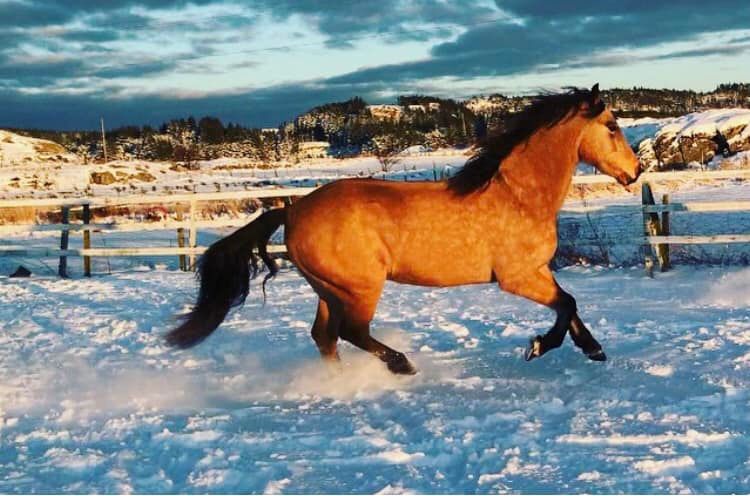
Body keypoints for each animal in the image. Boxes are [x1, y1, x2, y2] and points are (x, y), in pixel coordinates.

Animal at [166, 84, 641, 375]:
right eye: (612, 127)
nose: (635, 172)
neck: (519, 195)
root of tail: (294, 210)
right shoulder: (517, 277)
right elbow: (566, 305)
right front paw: (539, 346)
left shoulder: (538, 272)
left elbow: (569, 304)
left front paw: (592, 348)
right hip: (360, 287)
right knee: (351, 332)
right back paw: (401, 365)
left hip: (329, 289)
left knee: (324, 336)